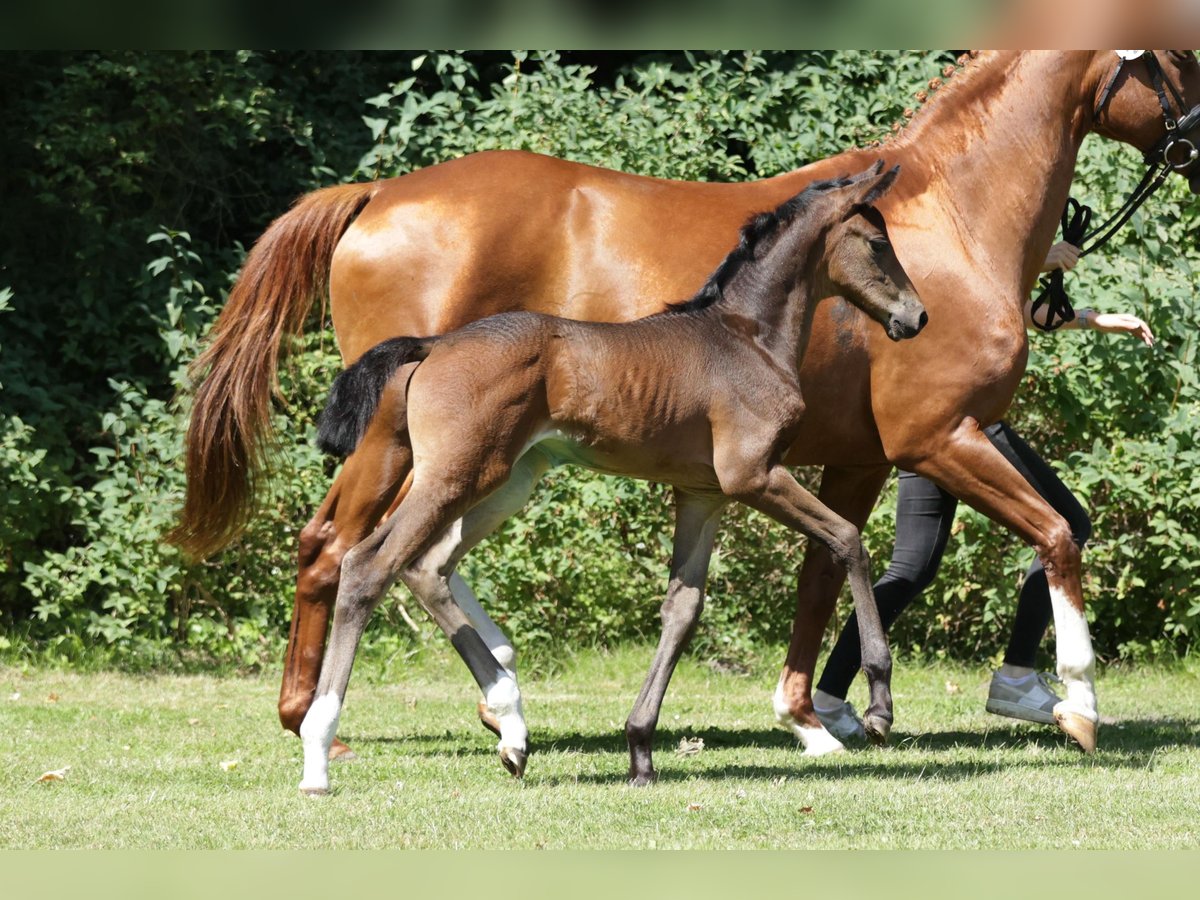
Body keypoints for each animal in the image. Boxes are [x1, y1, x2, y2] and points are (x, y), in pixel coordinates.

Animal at [300, 164, 926, 796]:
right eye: (878, 243)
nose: (917, 317)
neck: (747, 337)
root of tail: (433, 345)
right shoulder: (754, 476)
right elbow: (847, 540)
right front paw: (878, 706)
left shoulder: (703, 495)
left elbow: (682, 608)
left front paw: (640, 750)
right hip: (455, 477)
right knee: (370, 565)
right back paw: (319, 754)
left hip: (504, 482)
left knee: (426, 567)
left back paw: (512, 729)